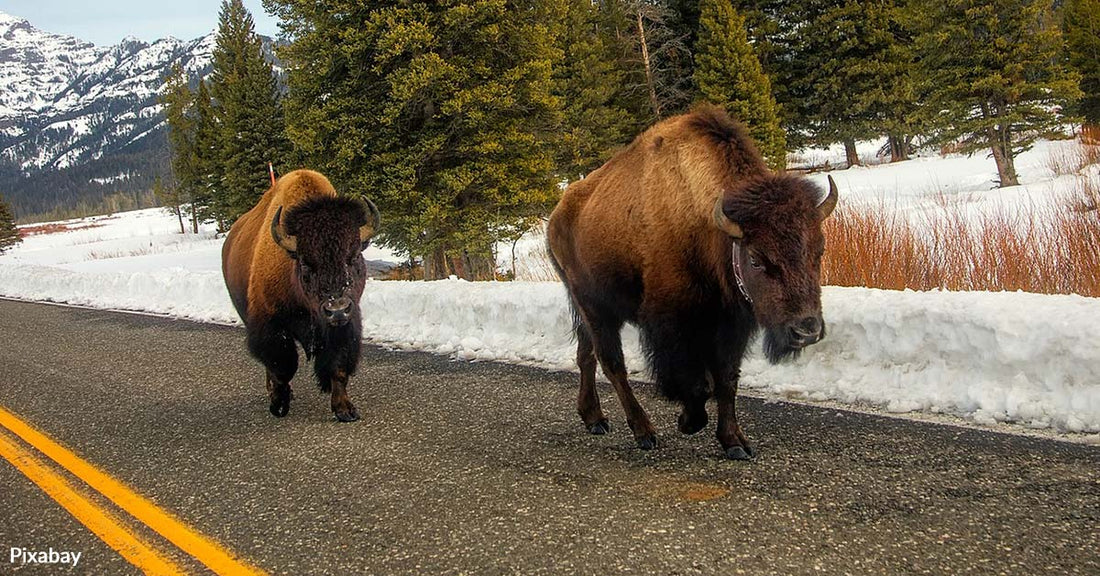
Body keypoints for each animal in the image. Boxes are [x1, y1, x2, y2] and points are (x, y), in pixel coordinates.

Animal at [221, 169, 380, 419]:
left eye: (354, 256)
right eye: (305, 264)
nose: (336, 310)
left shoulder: (346, 326)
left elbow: (338, 366)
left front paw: (345, 410)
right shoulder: (272, 327)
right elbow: (282, 367)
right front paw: (279, 405)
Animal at [545, 104, 836, 459]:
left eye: (819, 250)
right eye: (755, 258)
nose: (806, 331)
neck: (707, 225)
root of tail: (558, 215)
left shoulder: (730, 324)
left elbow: (726, 379)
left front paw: (735, 443)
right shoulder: (672, 324)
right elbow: (698, 383)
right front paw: (688, 422)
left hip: (591, 310)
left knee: (586, 354)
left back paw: (595, 419)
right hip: (593, 305)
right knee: (612, 363)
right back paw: (644, 432)